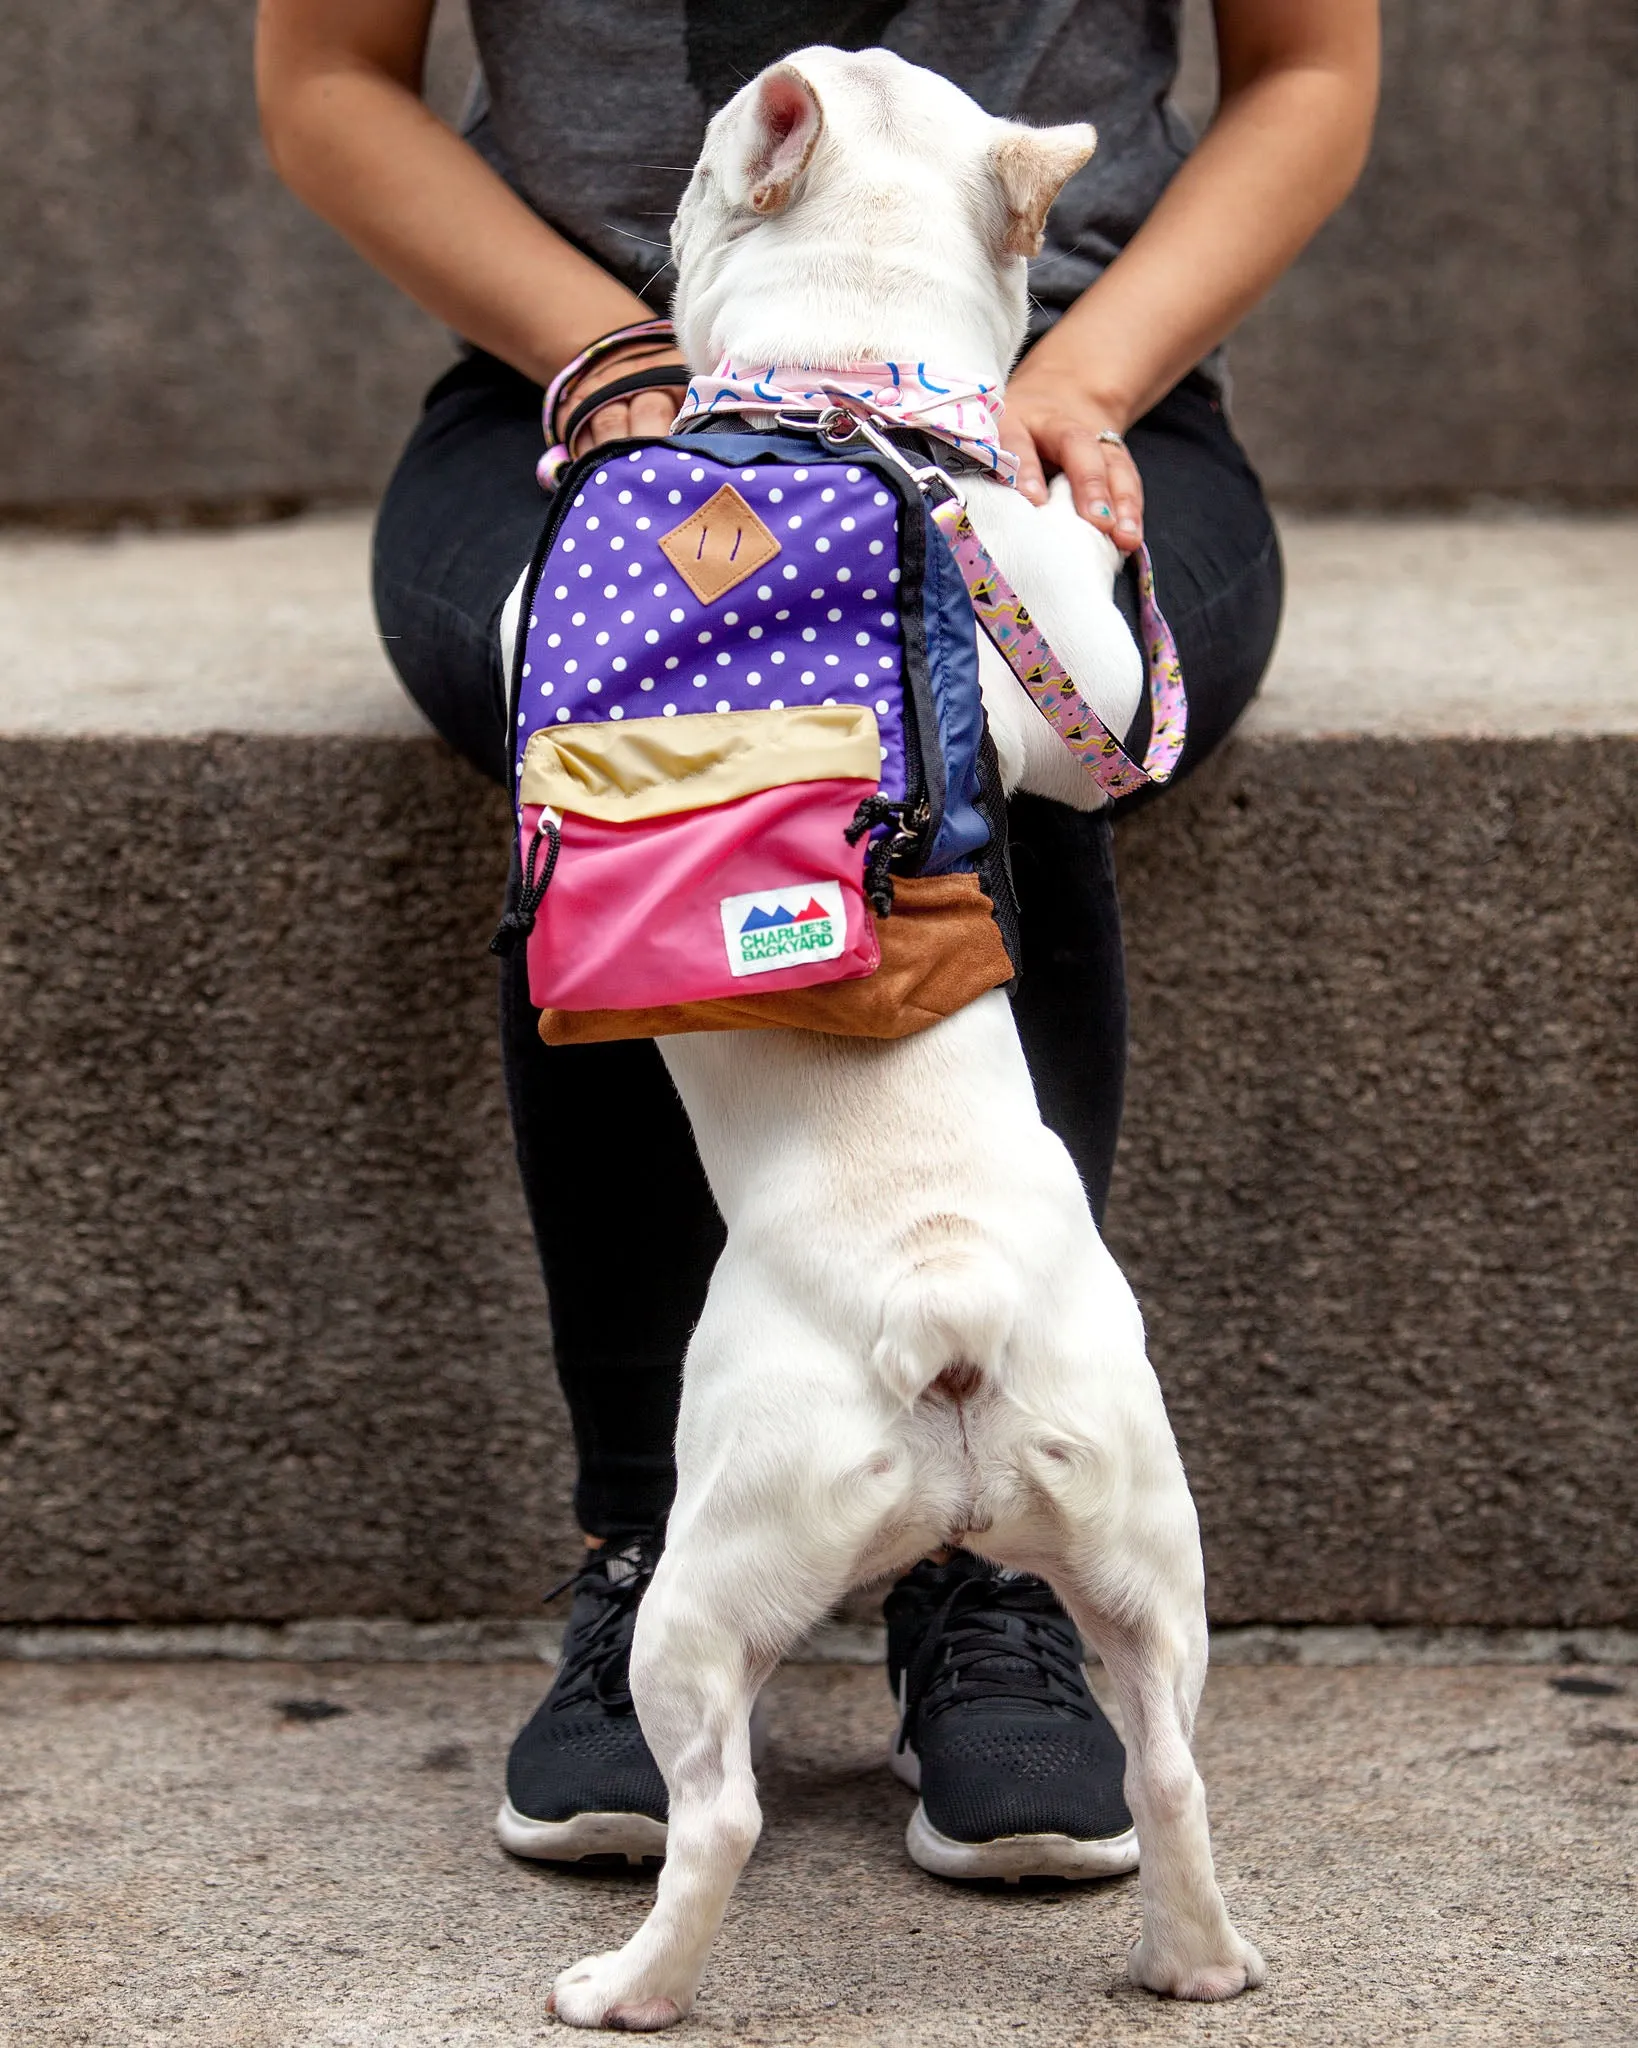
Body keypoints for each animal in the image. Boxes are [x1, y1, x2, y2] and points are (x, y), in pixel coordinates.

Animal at [511, 48, 1269, 2031]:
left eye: (703, 161)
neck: (851, 392)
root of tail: (947, 1300)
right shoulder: (1075, 667)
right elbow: (1095, 696)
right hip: (1141, 1534)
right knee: (1171, 1763)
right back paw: (1197, 1961)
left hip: (717, 1568)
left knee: (716, 1811)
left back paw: (624, 1985)